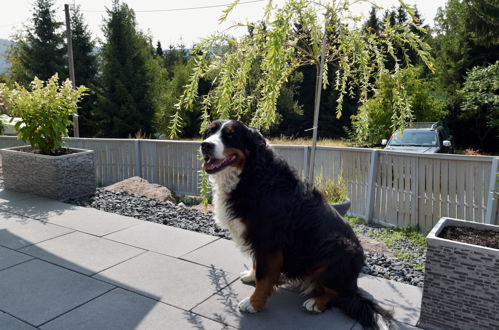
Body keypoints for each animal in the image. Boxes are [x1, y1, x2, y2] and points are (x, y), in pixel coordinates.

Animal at [201, 120, 392, 328]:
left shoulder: (268, 240)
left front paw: (254, 303)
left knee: (338, 294)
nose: (205, 145)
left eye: (231, 135)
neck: (251, 173)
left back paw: (316, 303)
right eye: (209, 132)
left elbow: (264, 276)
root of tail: (353, 282)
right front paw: (251, 276)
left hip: (338, 250)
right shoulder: (260, 240)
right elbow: (257, 264)